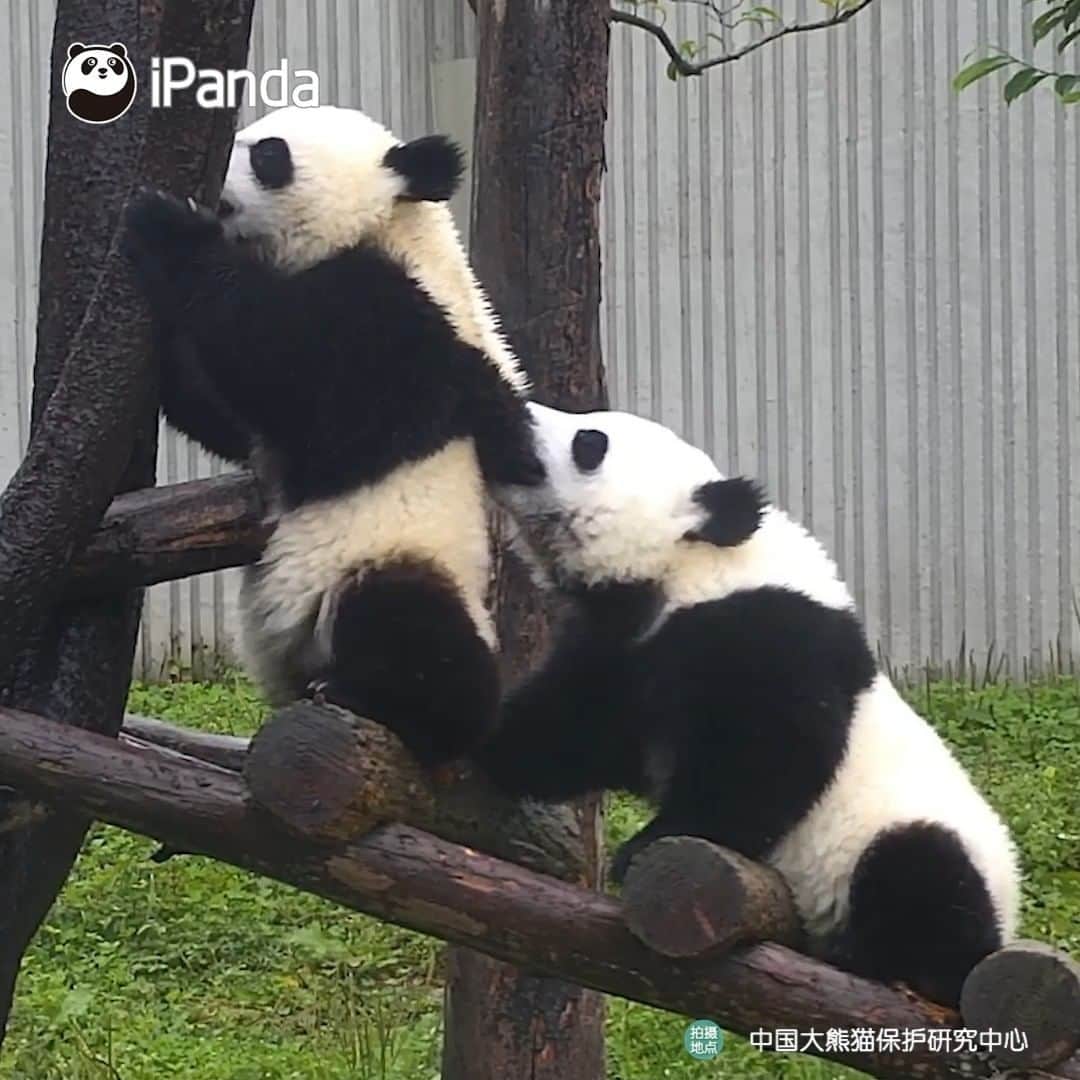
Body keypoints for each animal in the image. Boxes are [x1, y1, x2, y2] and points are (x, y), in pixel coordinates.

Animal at [122, 105, 542, 767]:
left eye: (269, 154)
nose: (216, 184)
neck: (392, 227)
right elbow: (229, 419)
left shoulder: (397, 326)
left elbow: (284, 368)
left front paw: (167, 229)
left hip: (401, 556)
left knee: (416, 627)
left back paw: (378, 696)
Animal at [478, 402, 1020, 1006]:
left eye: (589, 443)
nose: (517, 412)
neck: (695, 565)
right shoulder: (627, 648)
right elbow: (574, 727)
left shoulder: (765, 632)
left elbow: (767, 761)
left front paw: (645, 847)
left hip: (911, 844)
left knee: (921, 873)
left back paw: (881, 959)